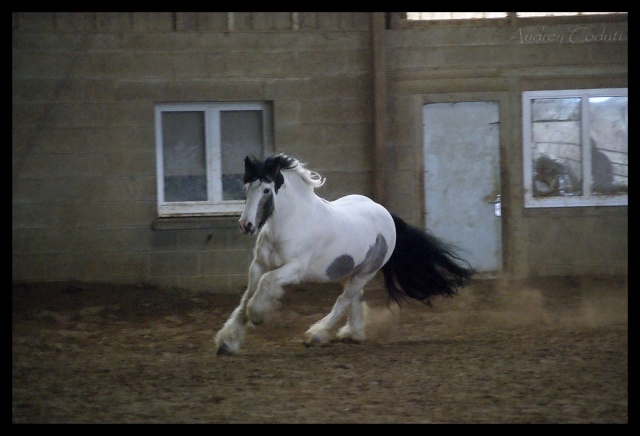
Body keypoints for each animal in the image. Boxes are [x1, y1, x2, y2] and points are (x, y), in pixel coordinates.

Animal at [215, 153, 476, 354]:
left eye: (267, 190)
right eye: (247, 187)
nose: (246, 225)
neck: (291, 222)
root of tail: (385, 213)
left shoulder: (294, 269)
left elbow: (266, 285)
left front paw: (257, 316)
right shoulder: (258, 265)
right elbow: (246, 297)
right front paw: (227, 342)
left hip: (366, 272)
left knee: (343, 300)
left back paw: (317, 335)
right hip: (347, 270)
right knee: (354, 297)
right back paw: (353, 334)